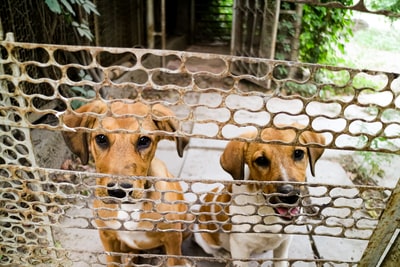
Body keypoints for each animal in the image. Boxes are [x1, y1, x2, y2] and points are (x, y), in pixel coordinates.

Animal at [63, 100, 191, 267]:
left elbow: (174, 261)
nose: (118, 191)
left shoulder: (172, 236)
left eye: (144, 141)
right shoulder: (107, 236)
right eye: (101, 138)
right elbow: (113, 262)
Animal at [194, 127, 324, 267]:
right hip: (201, 234)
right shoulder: (240, 249)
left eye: (298, 153)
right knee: (210, 248)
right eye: (261, 160)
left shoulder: (285, 241)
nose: (290, 196)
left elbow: (280, 262)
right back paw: (221, 254)